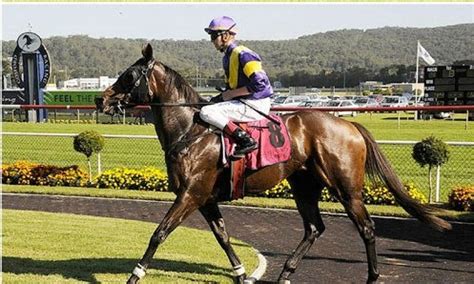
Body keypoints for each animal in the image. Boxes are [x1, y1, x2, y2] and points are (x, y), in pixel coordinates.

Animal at [101, 43, 452, 282]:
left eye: (129, 75)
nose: (102, 99)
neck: (191, 130)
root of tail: (348, 124)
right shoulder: (205, 198)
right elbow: (222, 237)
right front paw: (241, 274)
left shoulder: (191, 194)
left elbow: (159, 233)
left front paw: (134, 275)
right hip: (304, 185)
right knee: (314, 227)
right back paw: (286, 272)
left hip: (346, 188)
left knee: (365, 227)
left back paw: (372, 276)